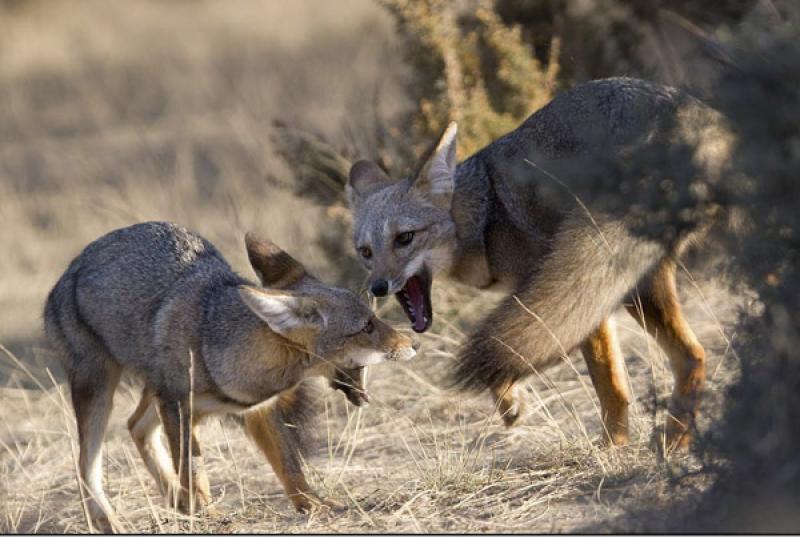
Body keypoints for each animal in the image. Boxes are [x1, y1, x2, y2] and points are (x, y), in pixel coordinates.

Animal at [43, 220, 416, 528]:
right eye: (366, 326)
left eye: (373, 318)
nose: (413, 342)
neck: (217, 341)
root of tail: (68, 271)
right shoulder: (178, 406)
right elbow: (194, 470)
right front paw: (209, 516)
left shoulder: (258, 409)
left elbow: (290, 467)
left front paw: (314, 506)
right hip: (100, 392)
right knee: (85, 464)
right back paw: (108, 520)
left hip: (155, 396)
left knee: (136, 426)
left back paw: (176, 502)